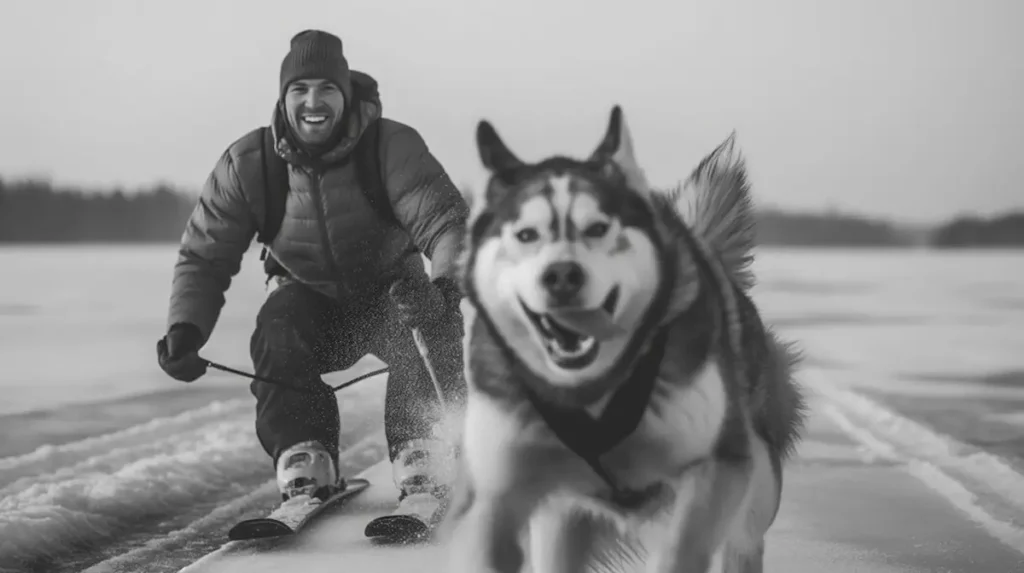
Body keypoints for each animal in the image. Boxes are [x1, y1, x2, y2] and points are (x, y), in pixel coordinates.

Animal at [446, 107, 806, 573]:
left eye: (599, 229)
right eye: (525, 235)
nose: (561, 277)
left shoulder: (715, 467)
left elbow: (683, 548)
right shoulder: (514, 489)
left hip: (754, 485)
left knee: (740, 541)